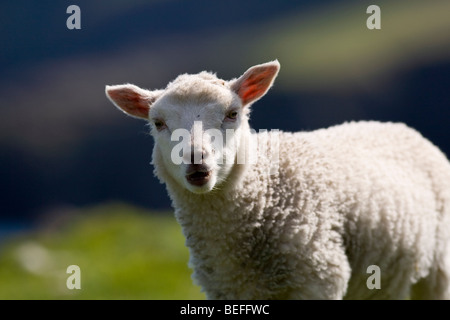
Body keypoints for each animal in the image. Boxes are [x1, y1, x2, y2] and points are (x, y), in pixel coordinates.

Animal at [104, 60, 450, 300]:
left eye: (232, 114)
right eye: (158, 123)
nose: (197, 163)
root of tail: (398, 127)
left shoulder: (319, 277)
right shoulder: (228, 289)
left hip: (438, 268)